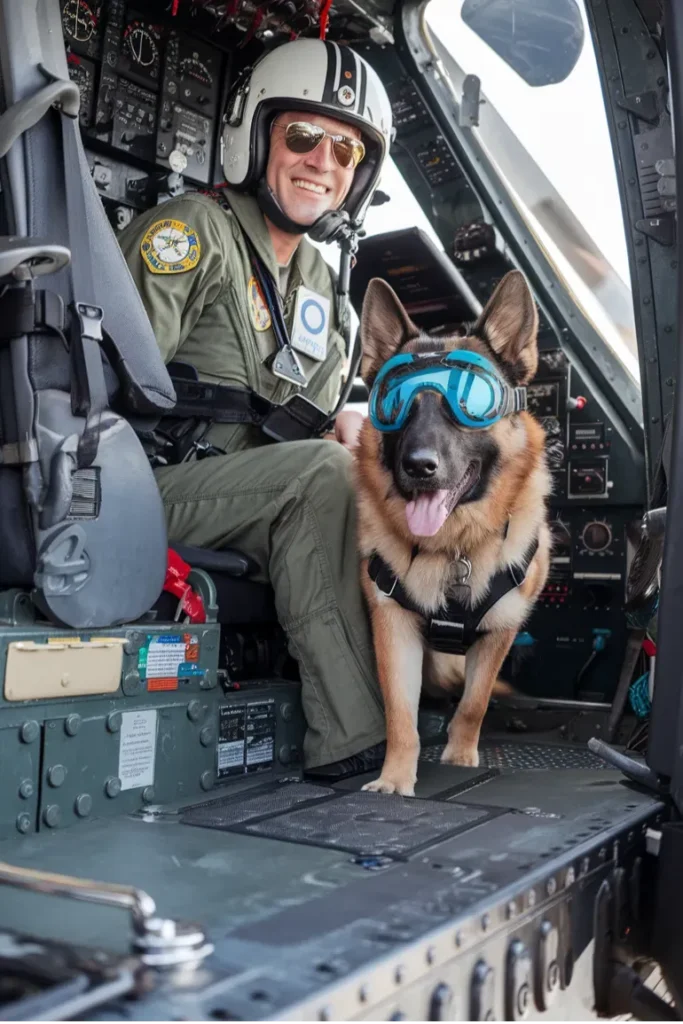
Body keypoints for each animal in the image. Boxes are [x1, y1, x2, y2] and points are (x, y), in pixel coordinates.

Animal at [356, 268, 552, 794]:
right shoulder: (393, 629)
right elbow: (401, 716)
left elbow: (473, 704)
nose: (419, 466)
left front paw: (461, 755)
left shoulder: (500, 630)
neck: (455, 548)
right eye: (392, 403)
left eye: (471, 402)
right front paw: (394, 779)